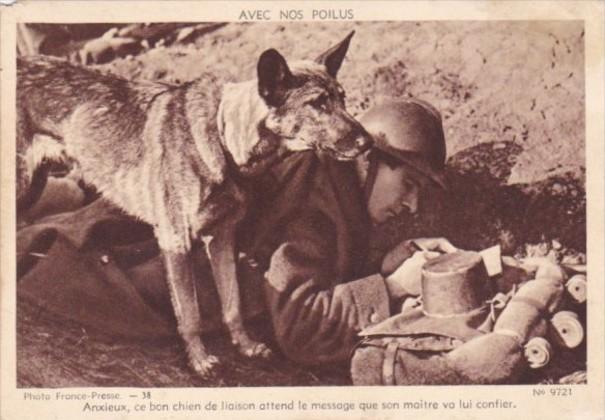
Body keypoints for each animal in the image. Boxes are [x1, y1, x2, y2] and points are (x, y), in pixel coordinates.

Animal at [16, 30, 370, 378]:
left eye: (342, 99)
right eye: (317, 104)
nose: (367, 142)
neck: (223, 135)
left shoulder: (222, 237)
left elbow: (232, 303)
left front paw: (244, 345)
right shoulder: (175, 242)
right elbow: (189, 313)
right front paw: (199, 360)